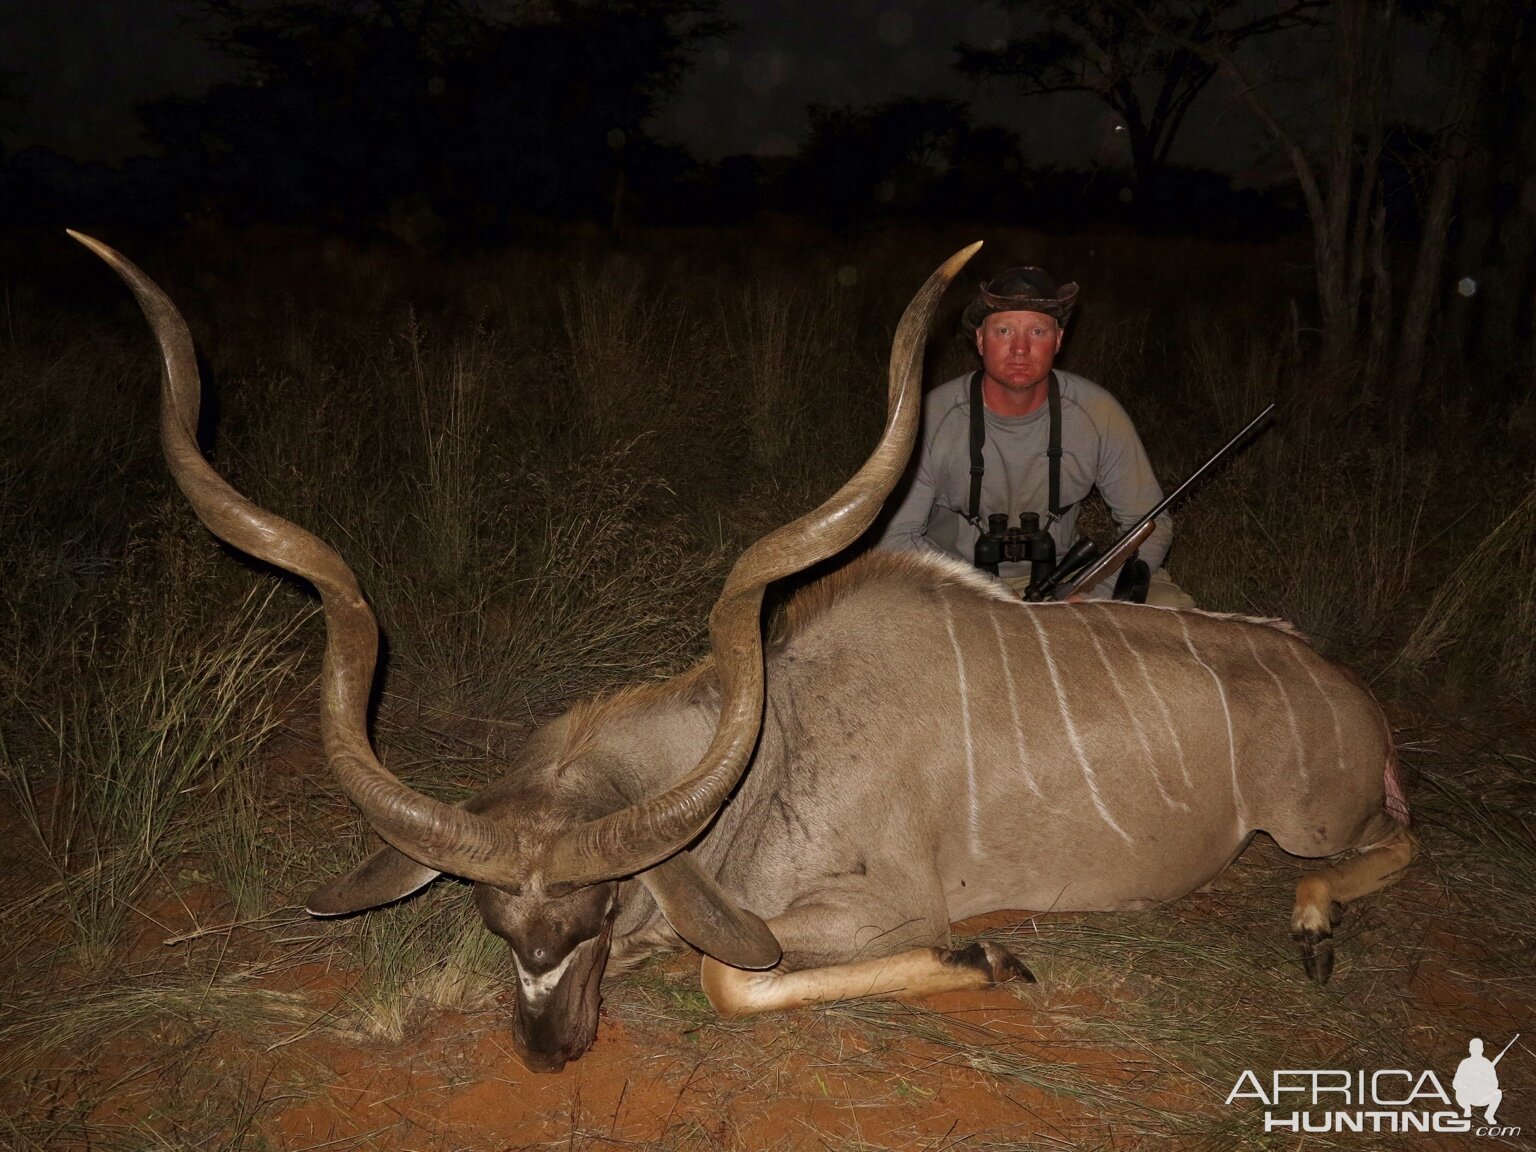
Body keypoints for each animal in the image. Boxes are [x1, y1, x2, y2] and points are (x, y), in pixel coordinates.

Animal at [74, 231, 1413, 1075]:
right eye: (499, 929)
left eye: (603, 912)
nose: (548, 1053)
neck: (778, 752)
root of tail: (1350, 697)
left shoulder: (873, 906)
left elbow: (733, 975)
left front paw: (992, 959)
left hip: (1316, 819)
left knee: (1390, 844)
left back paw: (1310, 925)